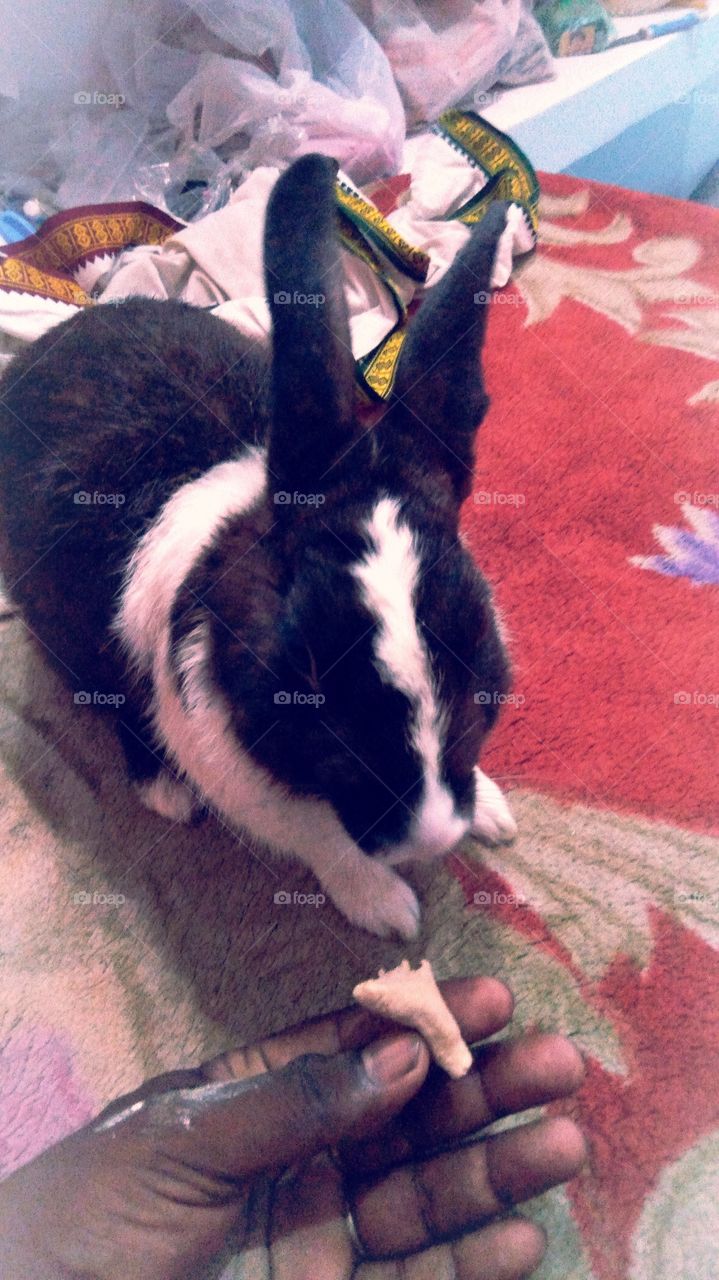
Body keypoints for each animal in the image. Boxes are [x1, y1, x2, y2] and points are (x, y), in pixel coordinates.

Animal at [0, 154, 517, 940]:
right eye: (309, 672)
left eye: (476, 636)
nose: (431, 835)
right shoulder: (241, 772)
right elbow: (321, 840)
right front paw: (389, 910)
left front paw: (490, 809)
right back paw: (165, 793)